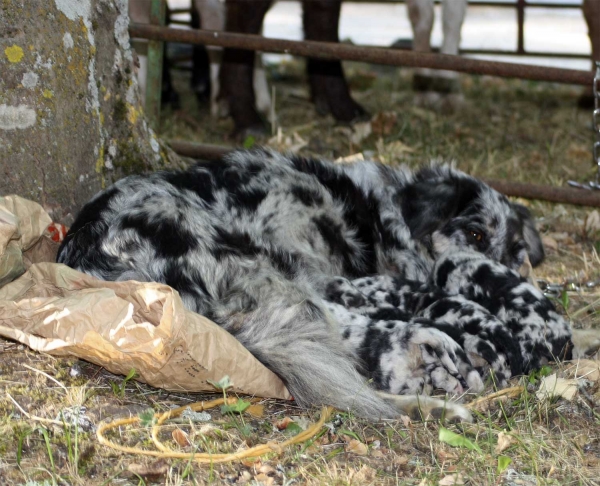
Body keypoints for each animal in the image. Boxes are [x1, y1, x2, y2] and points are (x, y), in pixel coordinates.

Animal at [56, 149, 580, 422]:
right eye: (475, 234)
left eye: (516, 250)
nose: (508, 279)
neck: (385, 212)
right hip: (277, 283)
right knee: (344, 382)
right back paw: (432, 405)